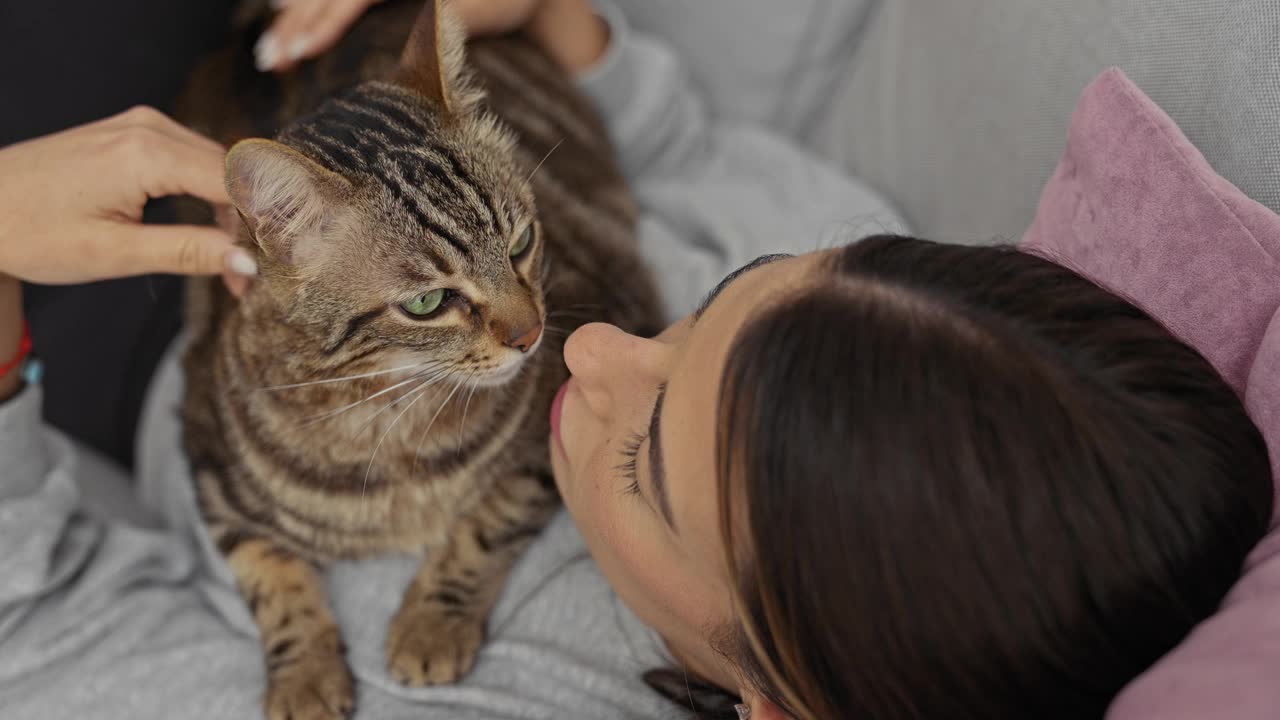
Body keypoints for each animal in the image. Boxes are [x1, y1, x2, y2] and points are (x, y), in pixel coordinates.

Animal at [177, 2, 660, 712]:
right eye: (429, 302)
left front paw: (431, 625)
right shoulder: (210, 465)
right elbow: (270, 575)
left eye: (522, 243)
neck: (388, 411)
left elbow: (487, 522)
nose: (531, 334)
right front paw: (305, 677)